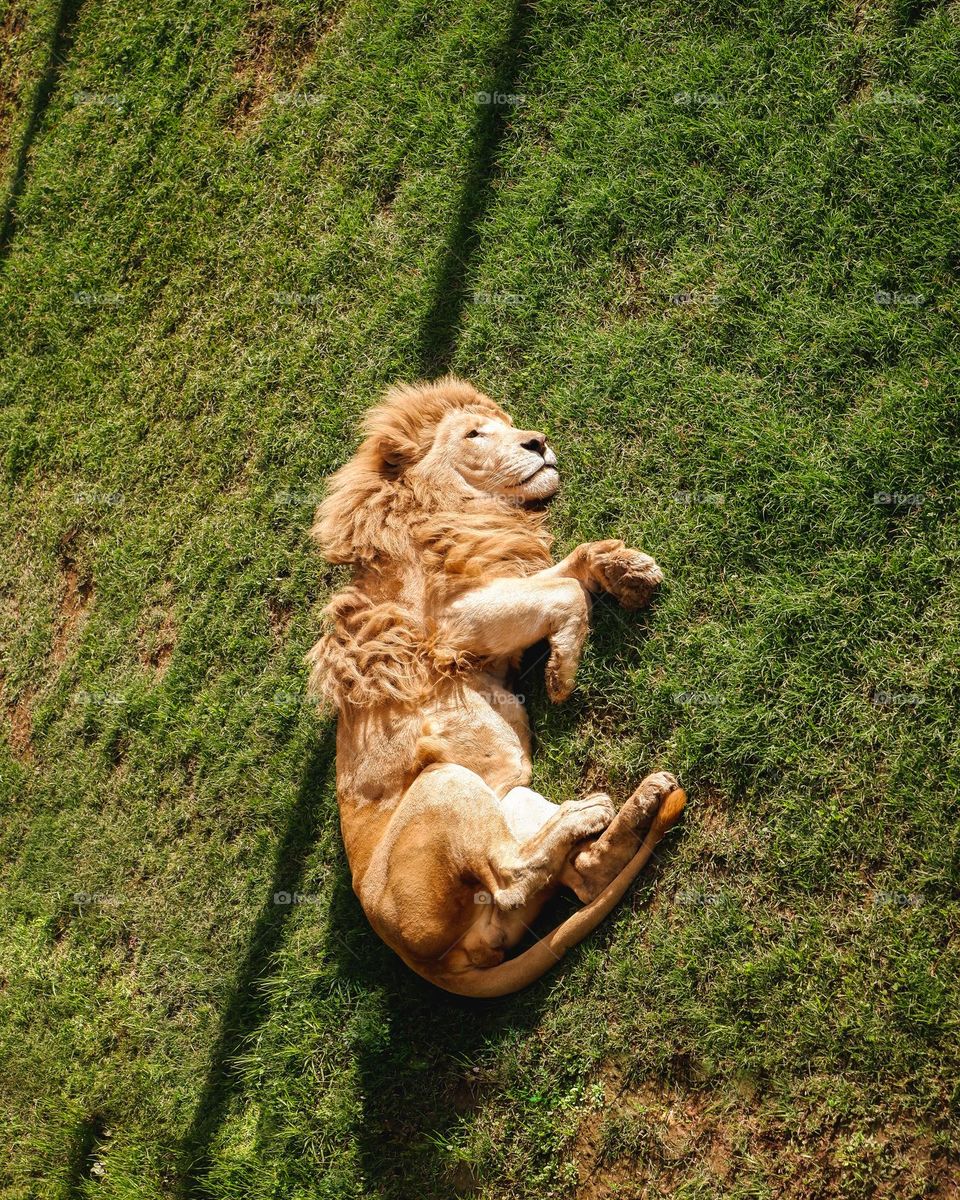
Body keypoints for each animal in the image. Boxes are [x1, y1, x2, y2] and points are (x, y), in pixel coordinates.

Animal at [307, 377, 686, 997]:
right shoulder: (455, 623)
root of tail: (421, 960)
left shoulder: (501, 591)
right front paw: (561, 674)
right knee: (511, 876)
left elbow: (572, 565)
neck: (461, 512)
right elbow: (567, 594)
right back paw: (591, 811)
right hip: (445, 783)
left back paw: (638, 802)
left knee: (578, 876)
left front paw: (631, 571)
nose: (540, 442)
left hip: (510, 797)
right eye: (474, 434)